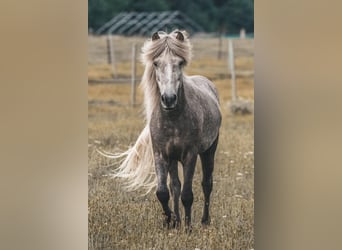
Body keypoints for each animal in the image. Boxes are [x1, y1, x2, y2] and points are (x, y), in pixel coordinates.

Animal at [105, 29, 222, 230]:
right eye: (156, 63)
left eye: (180, 62)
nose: (168, 99)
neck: (173, 120)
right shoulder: (161, 154)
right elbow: (163, 192)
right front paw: (170, 221)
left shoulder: (190, 156)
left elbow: (187, 195)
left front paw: (188, 228)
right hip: (173, 160)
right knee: (175, 185)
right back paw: (178, 219)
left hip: (209, 150)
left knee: (207, 184)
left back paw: (204, 221)